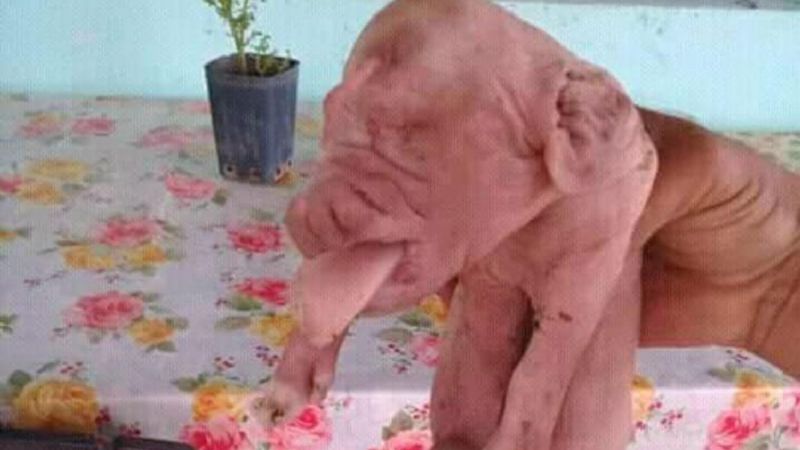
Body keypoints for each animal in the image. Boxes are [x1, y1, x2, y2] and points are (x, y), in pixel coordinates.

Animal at [248, 0, 800, 449]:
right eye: (331, 109)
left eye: (410, 137)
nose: (299, 220)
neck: (525, 232)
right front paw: (281, 398)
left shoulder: (597, 258)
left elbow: (541, 370)